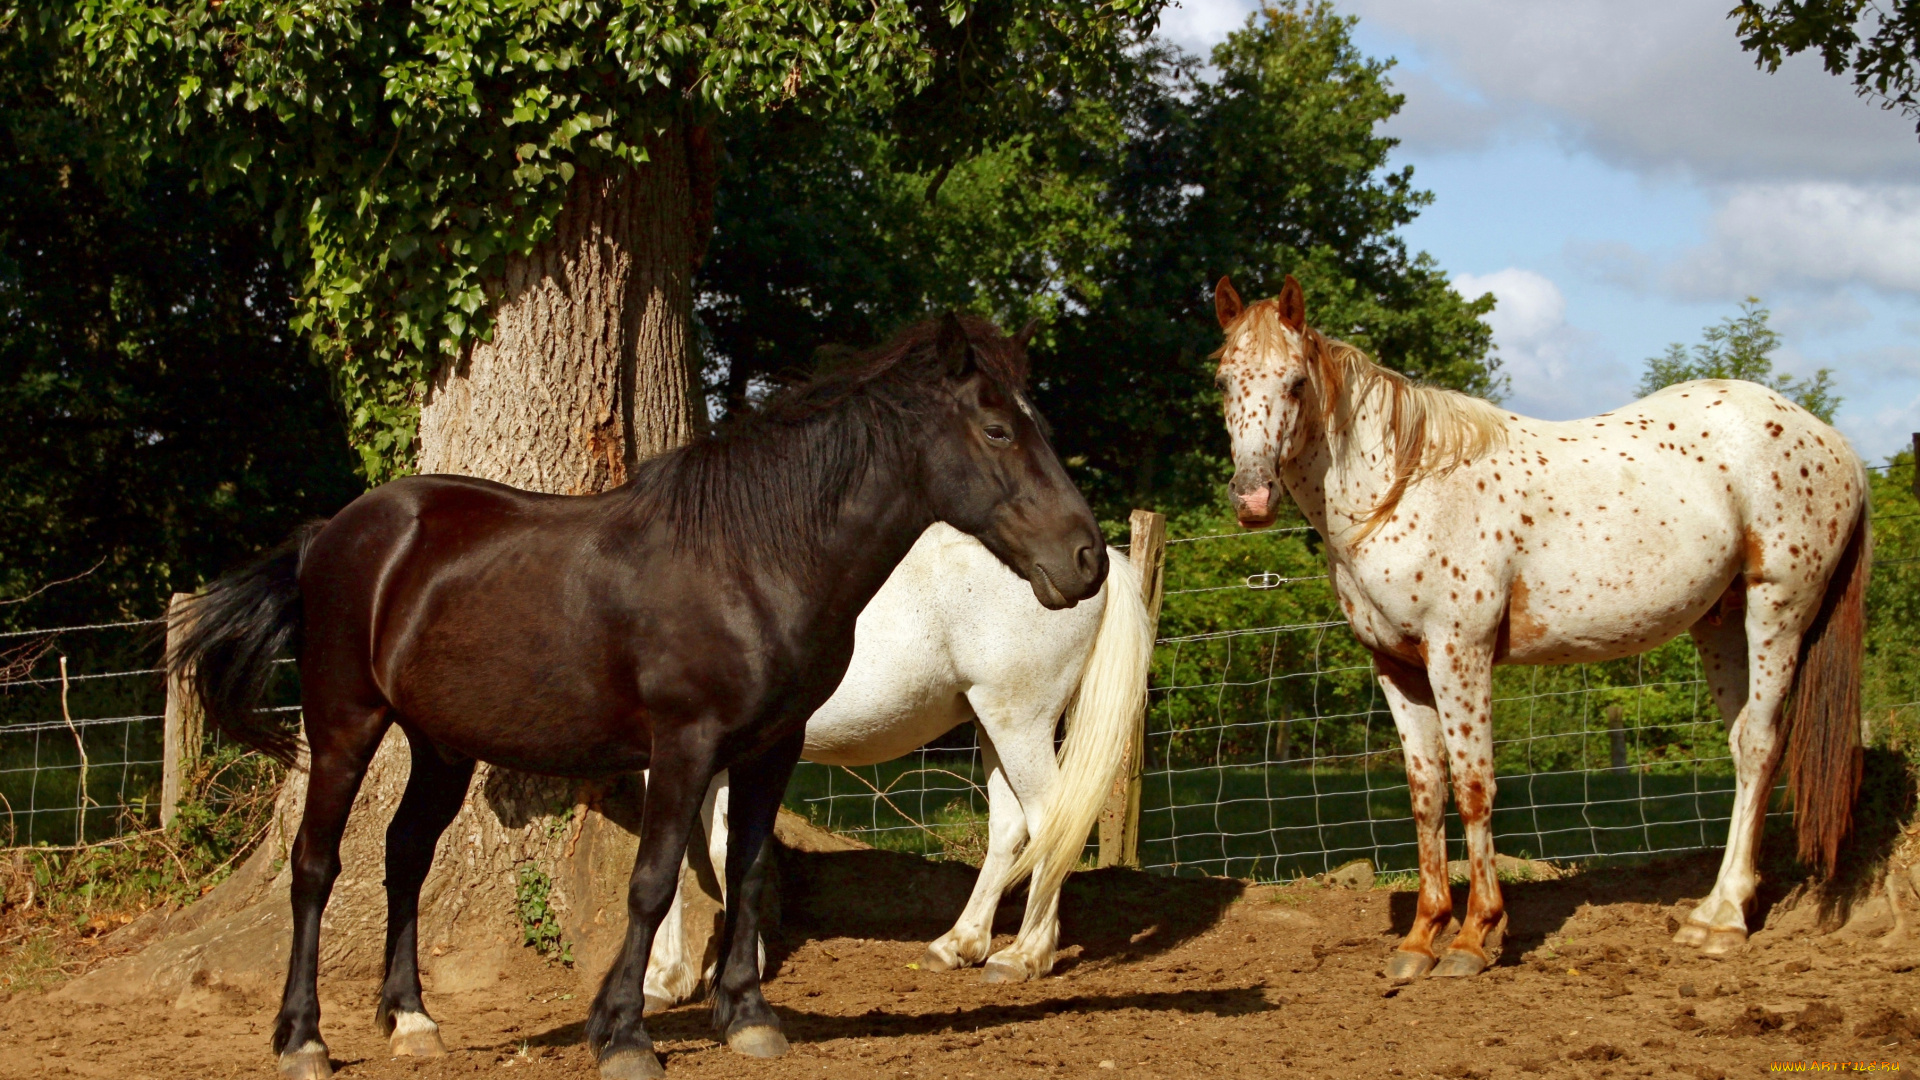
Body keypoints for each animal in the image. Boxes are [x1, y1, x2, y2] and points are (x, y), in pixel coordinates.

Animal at [637, 518, 1144, 1006]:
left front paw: (665, 978)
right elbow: (715, 850)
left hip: (1021, 723)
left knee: (1051, 822)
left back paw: (1023, 955)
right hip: (993, 724)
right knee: (1008, 825)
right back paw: (958, 944)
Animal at [1213, 274, 1858, 976]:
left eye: (1296, 382)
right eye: (1223, 381)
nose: (1251, 499)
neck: (1401, 490)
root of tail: (1831, 440)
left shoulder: (1458, 654)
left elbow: (1473, 786)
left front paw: (1475, 938)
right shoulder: (1397, 666)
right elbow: (1425, 791)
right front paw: (1420, 939)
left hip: (1778, 610)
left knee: (1764, 745)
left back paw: (1726, 922)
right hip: (1720, 622)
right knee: (1743, 746)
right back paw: (1712, 913)